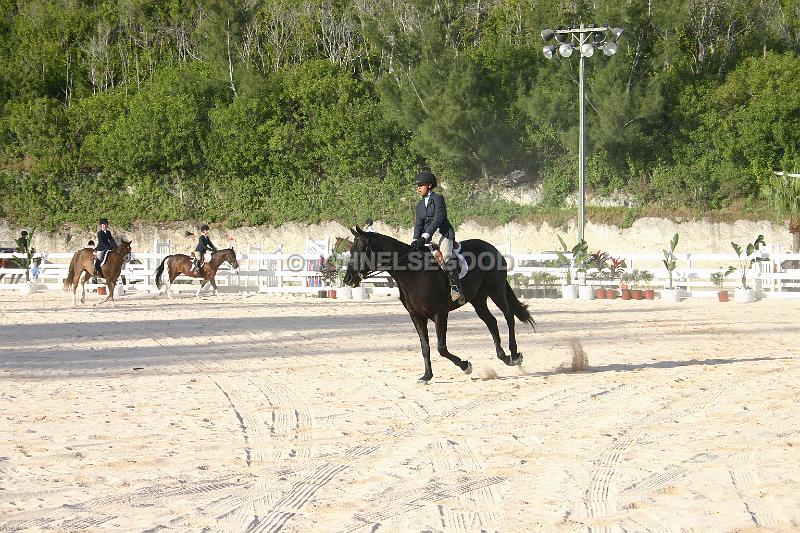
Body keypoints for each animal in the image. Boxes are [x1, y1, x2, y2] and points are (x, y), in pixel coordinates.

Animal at [342, 225, 536, 382]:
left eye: (360, 250)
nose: (348, 279)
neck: (412, 274)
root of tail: (491, 247)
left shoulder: (440, 313)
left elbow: (441, 348)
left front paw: (466, 366)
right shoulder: (417, 317)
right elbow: (425, 347)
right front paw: (427, 376)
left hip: (496, 290)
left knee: (508, 316)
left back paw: (514, 355)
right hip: (477, 299)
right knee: (491, 322)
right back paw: (504, 357)